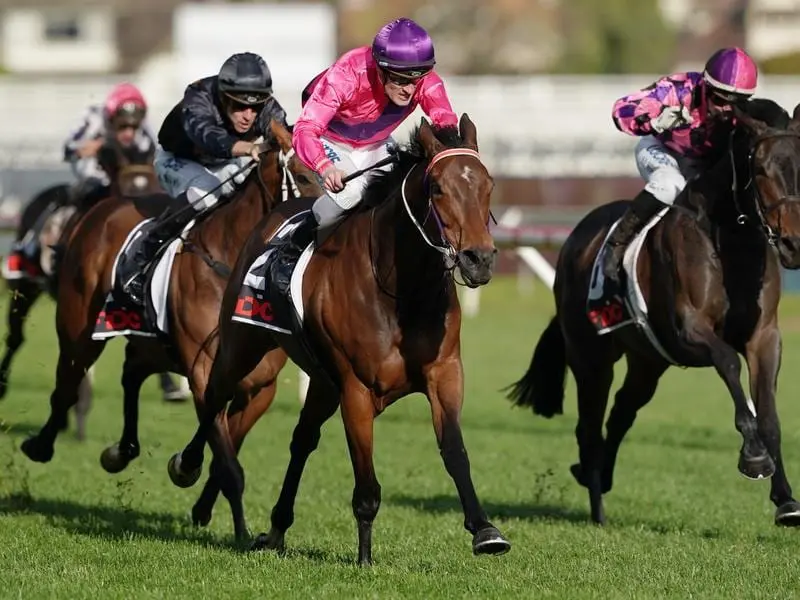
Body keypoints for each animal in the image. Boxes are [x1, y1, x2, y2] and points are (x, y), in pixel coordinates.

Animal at [19, 117, 318, 540]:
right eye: (305, 176)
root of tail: (102, 208)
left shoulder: (260, 386)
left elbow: (225, 448)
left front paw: (199, 496)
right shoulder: (203, 370)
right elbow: (228, 462)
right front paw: (242, 532)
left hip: (153, 344)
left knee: (131, 370)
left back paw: (122, 451)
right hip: (79, 327)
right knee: (67, 382)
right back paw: (42, 444)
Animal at [169, 115, 512, 564]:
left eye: (488, 184)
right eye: (438, 187)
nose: (480, 260)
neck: (399, 290)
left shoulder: (445, 373)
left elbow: (455, 451)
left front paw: (485, 530)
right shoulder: (356, 388)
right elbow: (366, 481)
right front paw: (365, 558)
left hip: (320, 379)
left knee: (302, 439)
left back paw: (276, 529)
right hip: (243, 344)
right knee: (214, 397)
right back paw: (187, 464)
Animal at [510, 101, 800, 528]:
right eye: (761, 169)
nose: (794, 243)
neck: (729, 241)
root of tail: (573, 241)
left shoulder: (764, 336)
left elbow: (769, 414)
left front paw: (785, 500)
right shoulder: (689, 331)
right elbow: (729, 362)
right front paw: (753, 455)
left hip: (648, 361)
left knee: (621, 412)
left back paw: (601, 475)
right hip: (591, 358)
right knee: (589, 426)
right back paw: (596, 504)